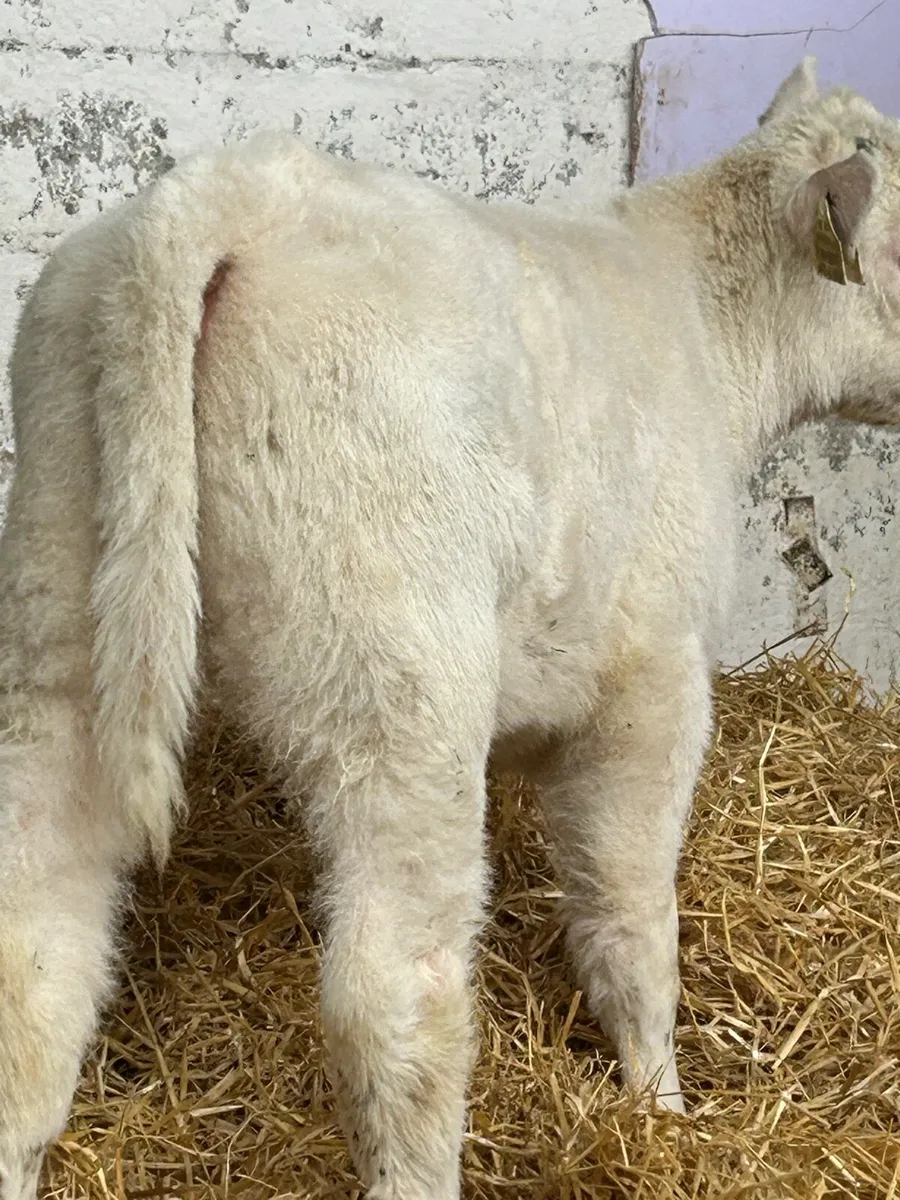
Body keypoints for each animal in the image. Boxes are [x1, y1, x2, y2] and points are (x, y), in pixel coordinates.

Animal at [1, 57, 897, 1200]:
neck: (707, 326)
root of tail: (228, 193)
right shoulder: (652, 674)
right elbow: (632, 913)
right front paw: (659, 1104)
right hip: (394, 669)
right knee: (393, 991)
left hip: (60, 596)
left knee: (33, 933)